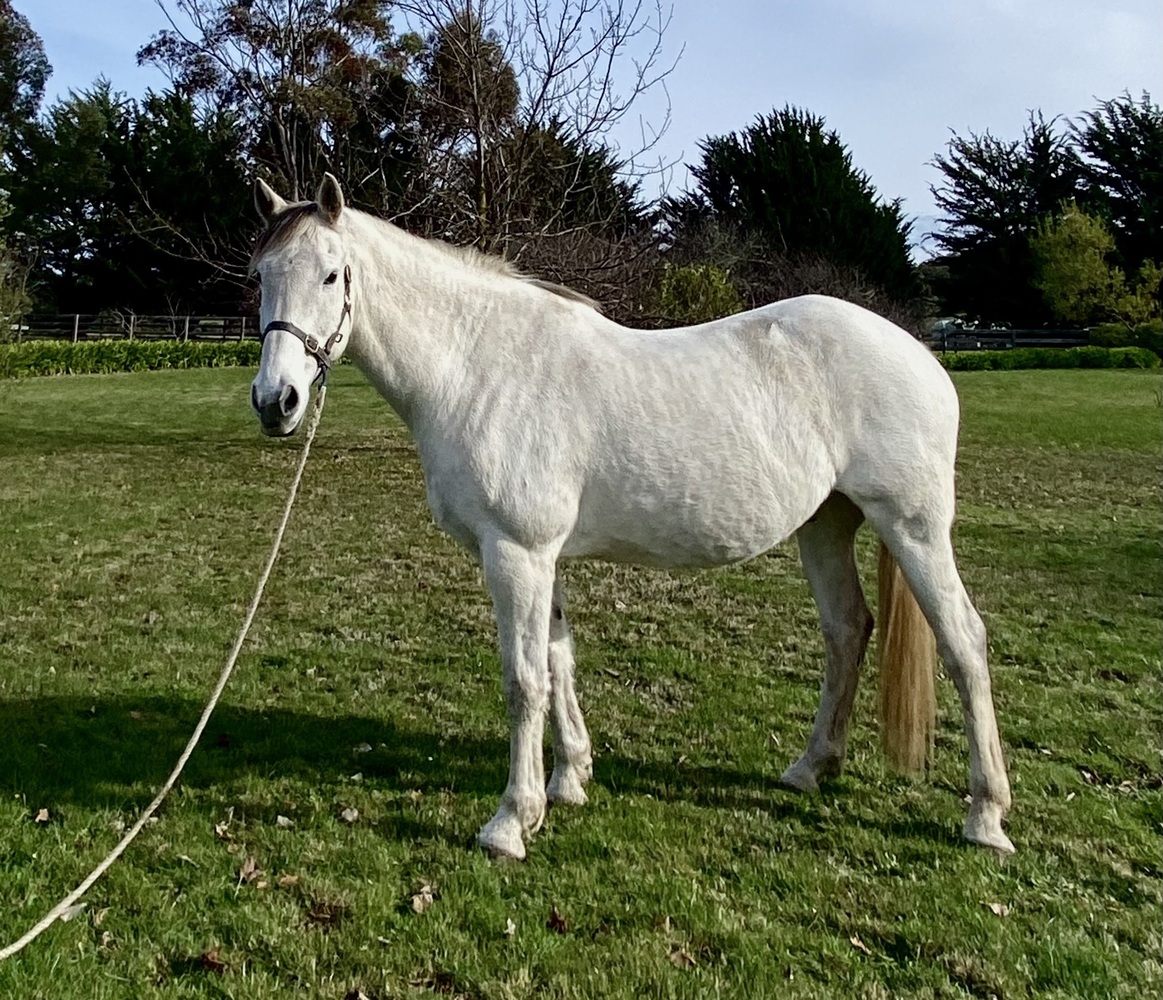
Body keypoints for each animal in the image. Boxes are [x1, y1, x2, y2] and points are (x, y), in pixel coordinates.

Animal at [247, 174, 1014, 860]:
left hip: (912, 528)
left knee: (962, 642)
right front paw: (567, 782)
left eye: (330, 275)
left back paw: (985, 816)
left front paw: (509, 823)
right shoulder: (542, 556)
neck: (476, 365)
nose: (276, 402)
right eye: (259, 276)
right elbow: (558, 661)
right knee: (848, 631)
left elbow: (523, 679)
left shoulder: (516, 552)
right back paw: (809, 769)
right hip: (825, 525)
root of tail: (923, 356)